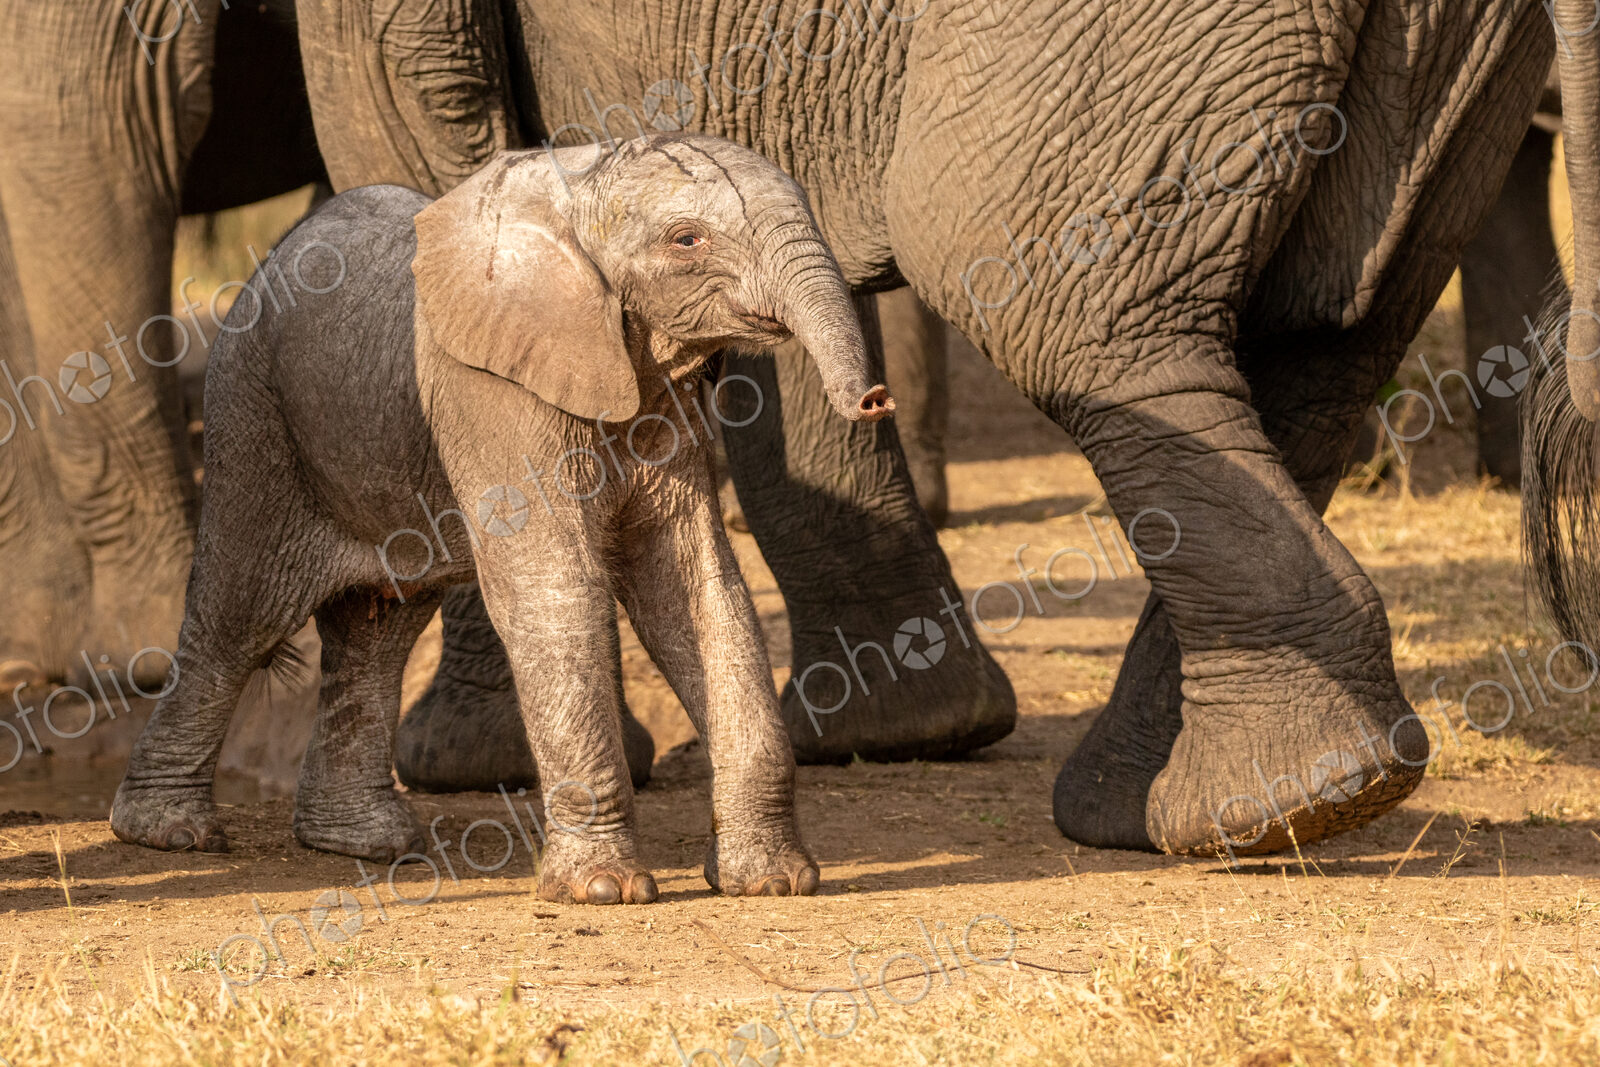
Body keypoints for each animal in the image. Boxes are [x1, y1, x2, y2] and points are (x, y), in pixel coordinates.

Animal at [110, 133, 886, 901]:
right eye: (687, 239)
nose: (874, 400)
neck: (581, 191)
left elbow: (699, 592)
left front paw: (774, 882)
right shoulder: (491, 391)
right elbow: (555, 587)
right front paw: (602, 891)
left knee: (379, 627)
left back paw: (366, 843)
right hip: (253, 414)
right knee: (240, 619)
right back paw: (169, 833)